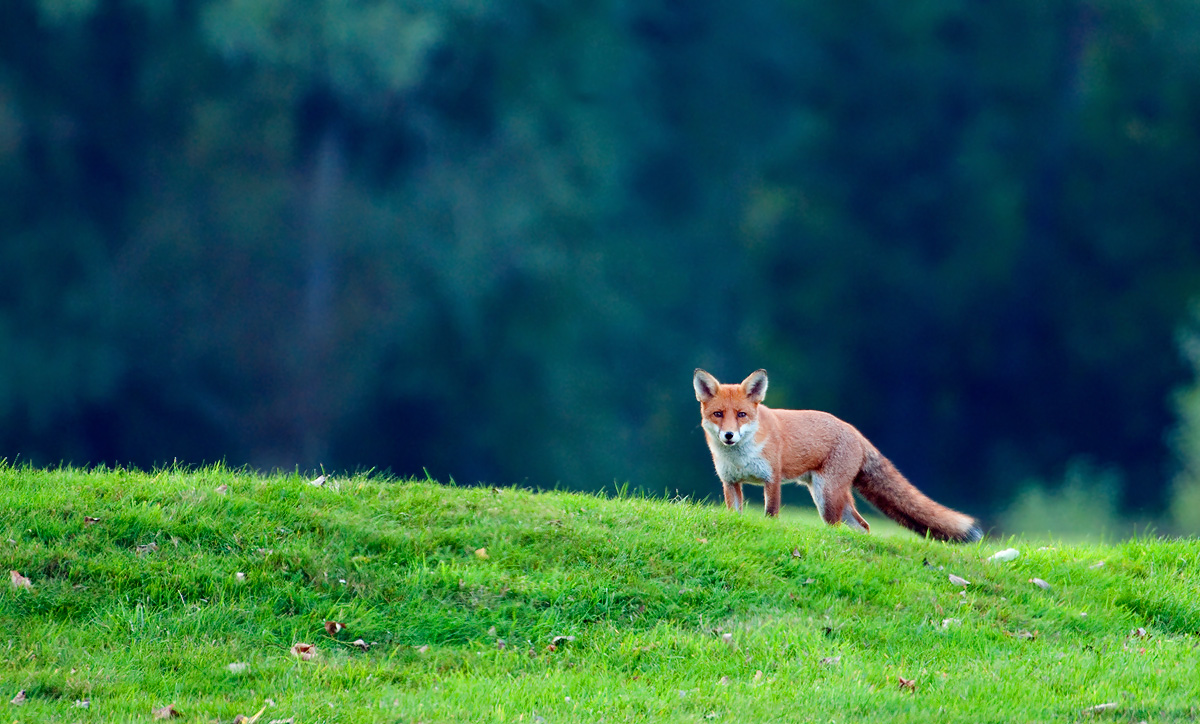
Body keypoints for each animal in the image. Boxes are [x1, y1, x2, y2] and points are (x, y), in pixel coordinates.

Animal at [694, 368, 982, 542]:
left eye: (741, 414)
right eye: (718, 414)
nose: (729, 435)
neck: (740, 457)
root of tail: (855, 431)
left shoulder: (772, 479)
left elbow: (771, 514)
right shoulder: (731, 482)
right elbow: (735, 514)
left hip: (827, 495)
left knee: (840, 527)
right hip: (829, 496)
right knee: (863, 526)